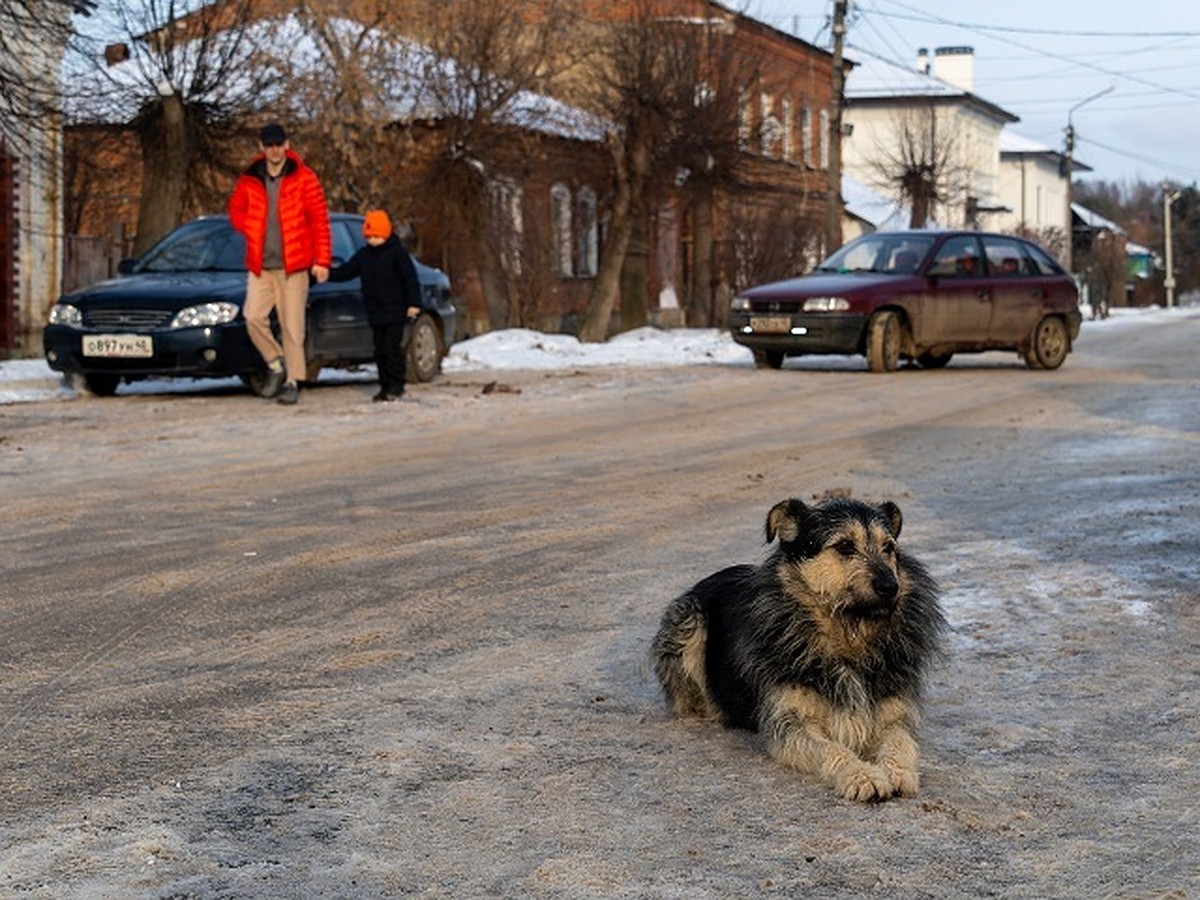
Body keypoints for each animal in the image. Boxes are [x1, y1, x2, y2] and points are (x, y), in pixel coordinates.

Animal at [652, 501, 940, 801]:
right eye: (845, 546)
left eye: (889, 548)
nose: (890, 587)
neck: (847, 639)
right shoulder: (789, 722)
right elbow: (831, 749)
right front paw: (862, 775)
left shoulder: (895, 715)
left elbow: (901, 741)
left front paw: (898, 772)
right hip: (688, 623)